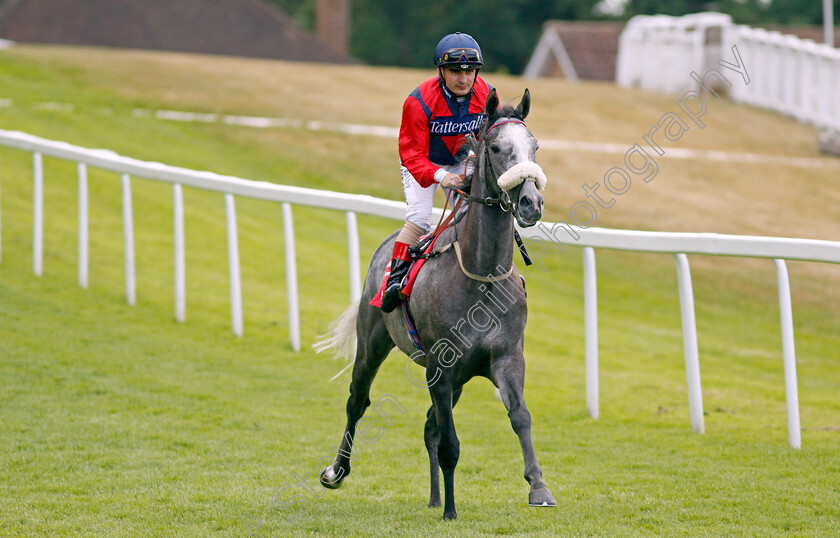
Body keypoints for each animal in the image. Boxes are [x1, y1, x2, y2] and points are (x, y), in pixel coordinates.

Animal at [312, 89, 556, 520]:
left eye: (535, 147)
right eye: (496, 147)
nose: (531, 202)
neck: (480, 279)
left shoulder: (507, 358)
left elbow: (520, 417)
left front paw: (538, 487)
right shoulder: (440, 369)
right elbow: (450, 444)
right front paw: (452, 512)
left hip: (456, 378)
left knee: (428, 425)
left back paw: (434, 497)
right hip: (374, 342)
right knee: (358, 401)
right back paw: (337, 470)